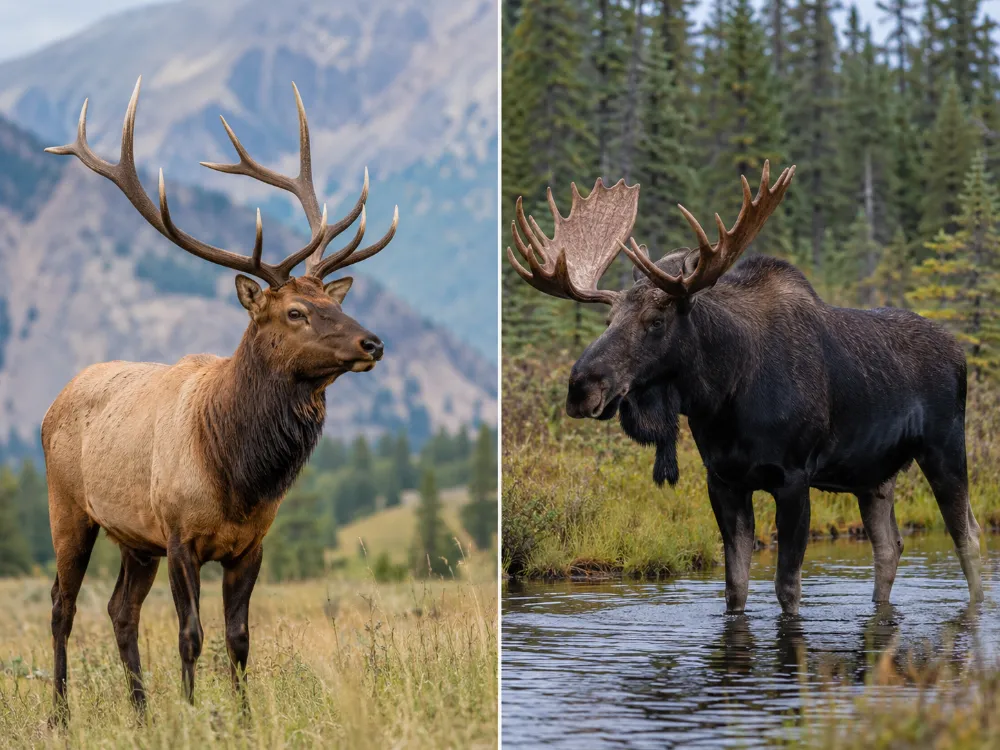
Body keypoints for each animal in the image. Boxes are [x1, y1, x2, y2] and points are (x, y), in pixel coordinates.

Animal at [41, 77, 398, 722]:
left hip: (135, 539)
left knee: (120, 610)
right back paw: (60, 713)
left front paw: (243, 718)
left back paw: (141, 712)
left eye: (332, 301)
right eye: (296, 311)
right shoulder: (179, 535)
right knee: (62, 604)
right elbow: (191, 635)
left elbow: (238, 639)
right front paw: (193, 713)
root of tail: (56, 399)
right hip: (69, 508)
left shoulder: (249, 544)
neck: (236, 474)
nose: (373, 342)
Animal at [507, 162, 984, 616]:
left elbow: (787, 588)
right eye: (609, 321)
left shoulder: (793, 478)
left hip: (944, 449)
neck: (723, 396)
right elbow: (735, 588)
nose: (580, 387)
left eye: (655, 321)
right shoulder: (723, 480)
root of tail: (960, 354)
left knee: (968, 538)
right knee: (890, 548)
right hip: (873, 476)